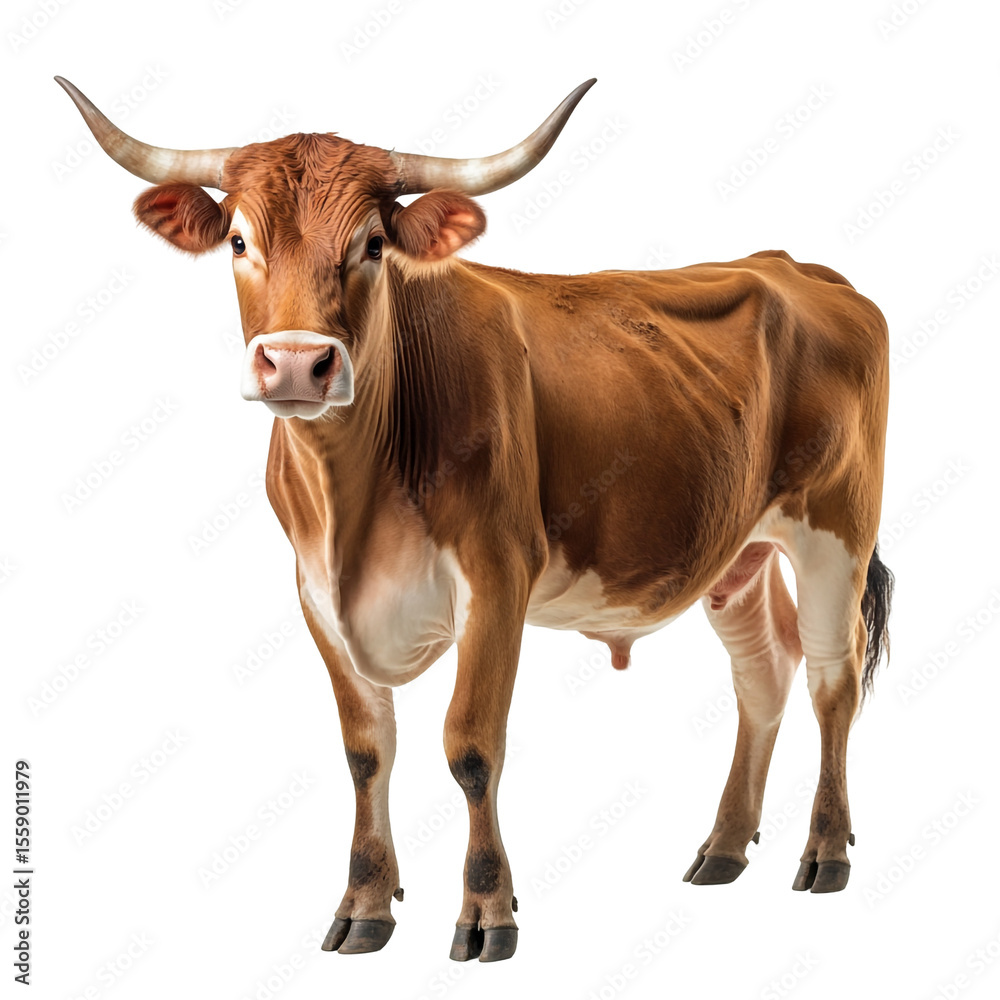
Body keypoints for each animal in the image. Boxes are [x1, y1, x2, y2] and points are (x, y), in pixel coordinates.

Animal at [57, 76, 893, 963]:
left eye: (373, 246)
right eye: (240, 241)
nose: (294, 363)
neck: (353, 504)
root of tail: (796, 266)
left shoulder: (497, 577)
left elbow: (471, 747)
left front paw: (487, 912)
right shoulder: (316, 595)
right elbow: (365, 753)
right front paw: (365, 902)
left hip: (837, 526)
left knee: (832, 678)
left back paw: (826, 852)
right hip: (738, 550)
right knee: (762, 672)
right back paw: (725, 847)